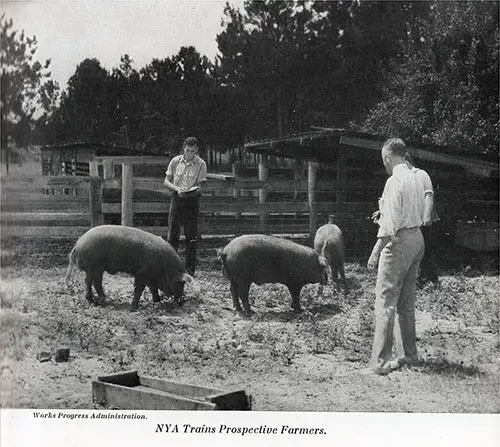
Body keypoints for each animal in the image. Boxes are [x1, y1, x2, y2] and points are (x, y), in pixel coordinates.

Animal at [63, 224, 192, 312]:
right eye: (181, 283)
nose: (183, 301)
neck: (165, 267)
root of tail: (77, 245)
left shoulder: (150, 277)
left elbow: (153, 288)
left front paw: (156, 301)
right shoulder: (142, 273)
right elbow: (139, 289)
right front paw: (133, 307)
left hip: (92, 269)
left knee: (88, 282)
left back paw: (93, 300)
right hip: (94, 267)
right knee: (95, 283)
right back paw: (103, 301)